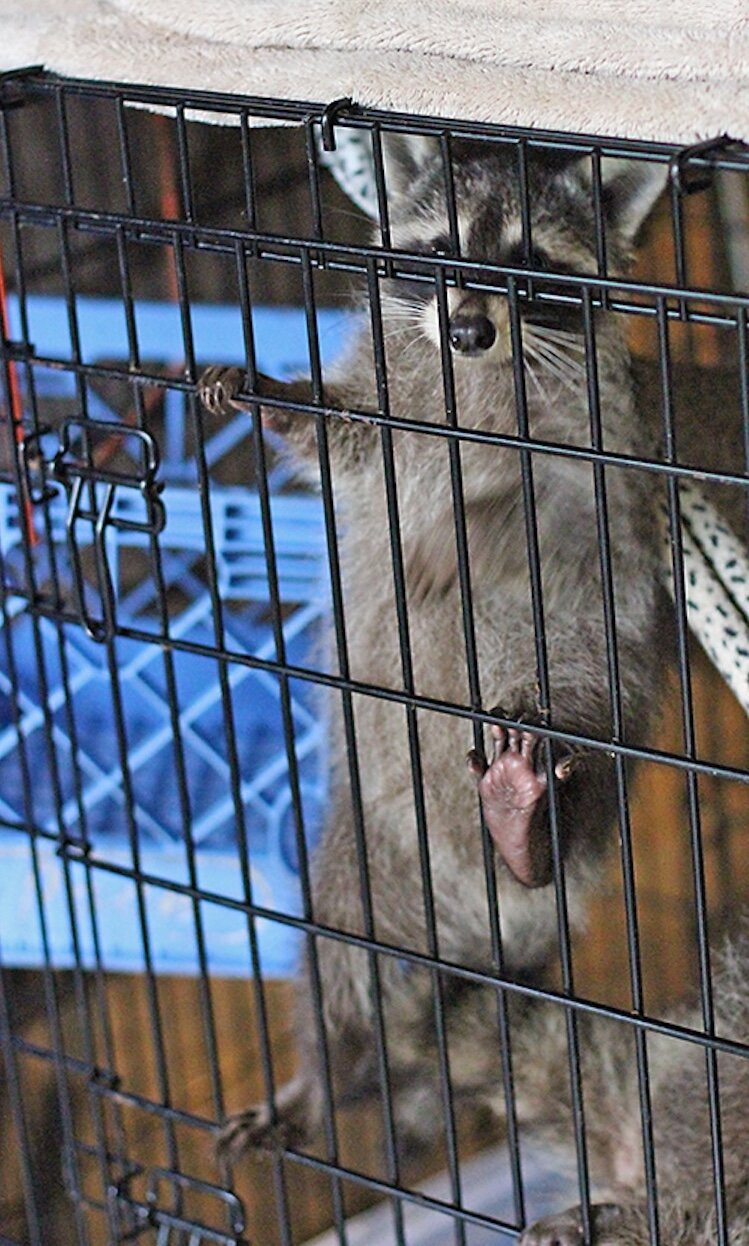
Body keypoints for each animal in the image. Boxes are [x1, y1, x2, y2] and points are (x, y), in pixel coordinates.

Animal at [199, 135, 668, 1157]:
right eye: (441, 248)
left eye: (528, 261)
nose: (466, 330)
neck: (477, 381)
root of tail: (488, 931)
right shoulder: (393, 405)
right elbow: (339, 441)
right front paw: (279, 403)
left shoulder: (595, 441)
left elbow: (579, 515)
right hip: (362, 878)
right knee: (338, 984)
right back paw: (319, 1085)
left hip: (589, 702)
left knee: (584, 719)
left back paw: (531, 824)